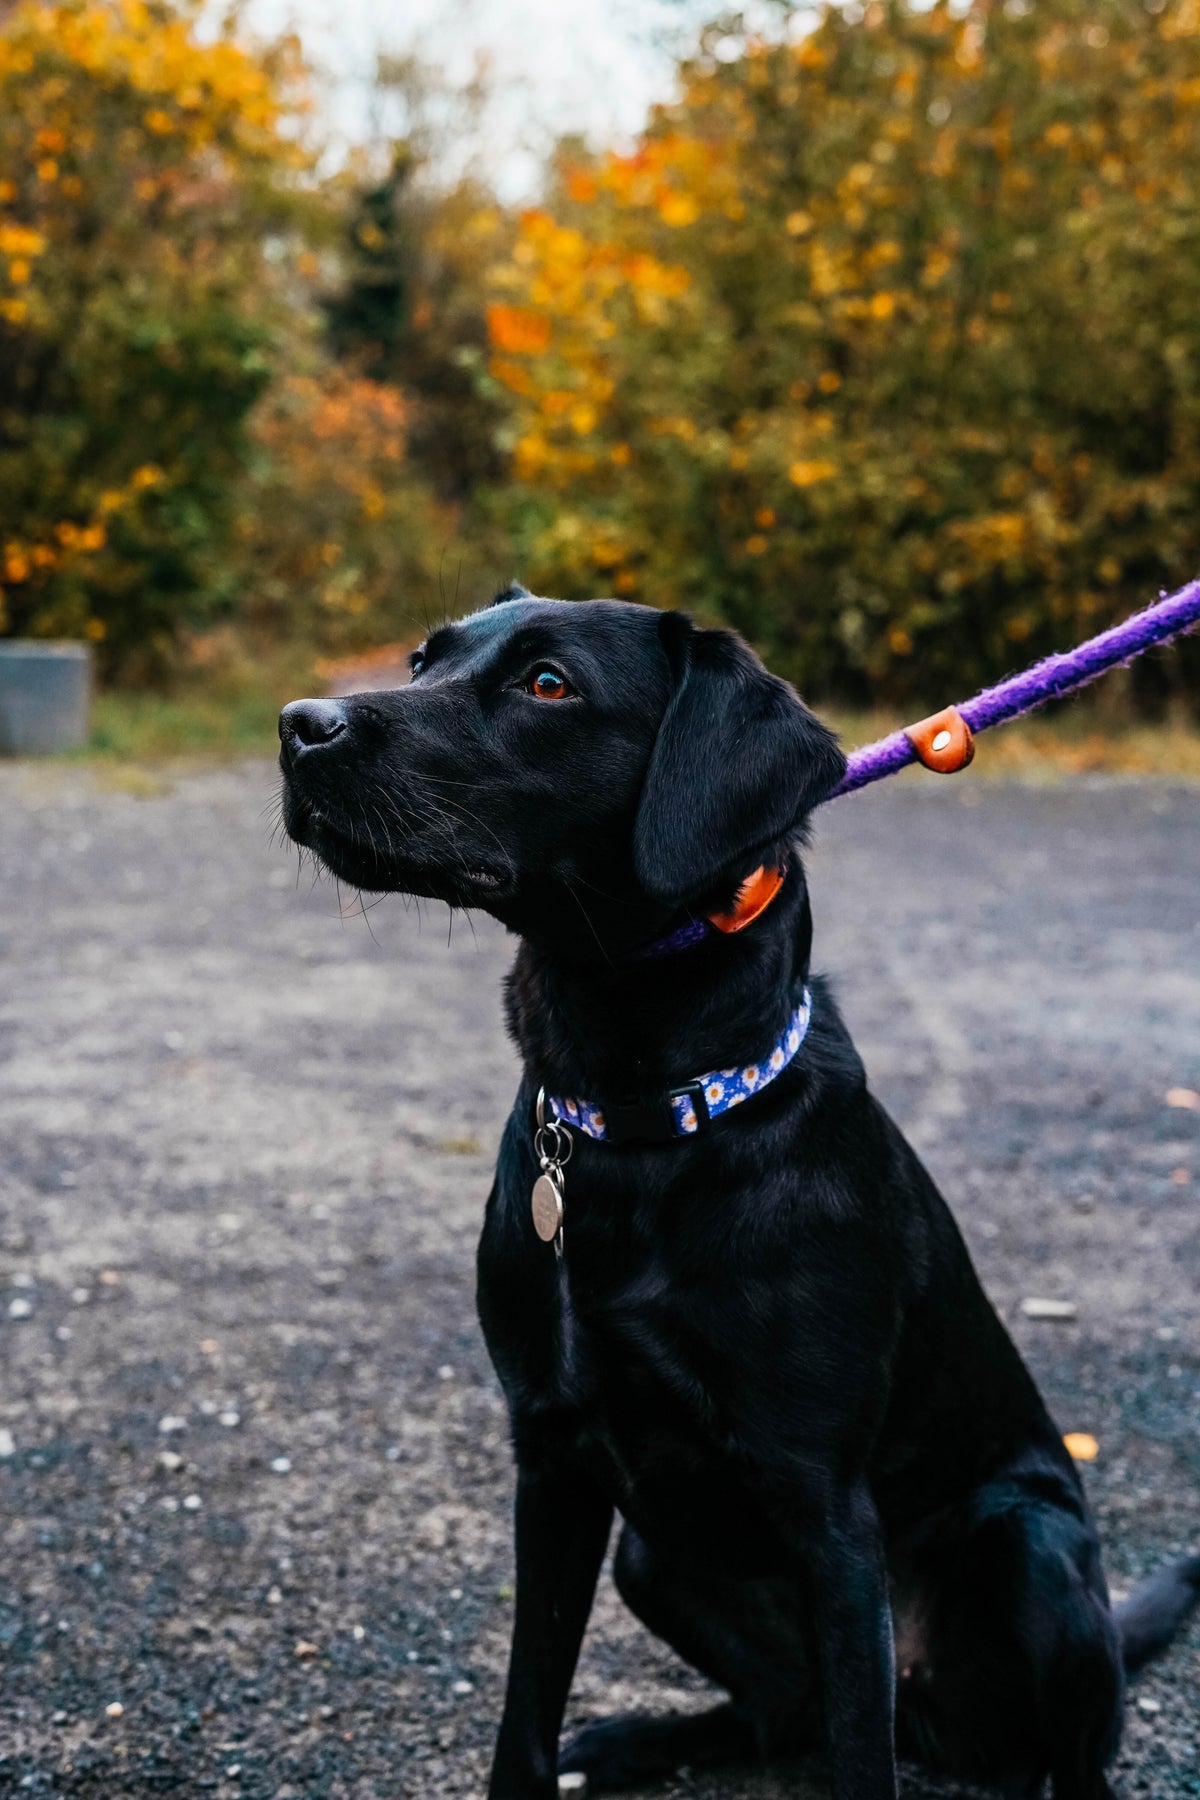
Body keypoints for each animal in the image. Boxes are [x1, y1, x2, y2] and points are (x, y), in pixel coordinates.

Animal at [278, 588, 1199, 1800]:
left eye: (547, 685)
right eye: (426, 660)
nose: (298, 726)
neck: (638, 1117)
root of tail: (941, 1717)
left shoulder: (829, 1513)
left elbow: (861, 1759)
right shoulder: (554, 1462)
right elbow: (525, 1715)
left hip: (1024, 1548)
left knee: (1051, 1753)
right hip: (651, 1552)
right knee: (779, 1715)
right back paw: (630, 1742)